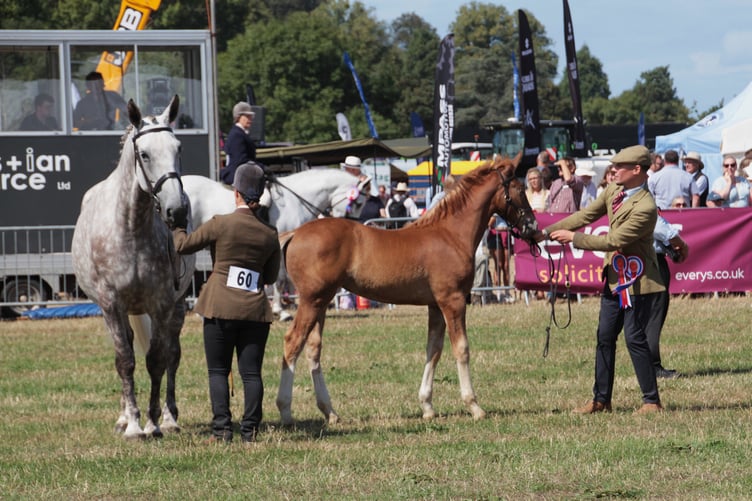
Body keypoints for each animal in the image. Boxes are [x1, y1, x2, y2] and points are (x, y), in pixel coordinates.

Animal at [72, 95, 195, 439]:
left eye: (178, 147)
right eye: (144, 154)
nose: (177, 211)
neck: (131, 227)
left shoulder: (162, 304)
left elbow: (157, 360)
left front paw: (153, 422)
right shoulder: (112, 305)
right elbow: (125, 360)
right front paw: (133, 424)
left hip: (177, 306)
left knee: (172, 354)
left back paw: (169, 417)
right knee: (124, 349)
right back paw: (124, 416)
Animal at [181, 169, 370, 319]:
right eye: (359, 203)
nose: (351, 226)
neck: (296, 201)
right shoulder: (279, 244)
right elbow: (280, 279)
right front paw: (281, 311)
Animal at [276, 156, 538, 425]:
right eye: (519, 189)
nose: (533, 227)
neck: (451, 234)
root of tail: (294, 233)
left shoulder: (436, 305)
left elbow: (433, 350)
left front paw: (427, 406)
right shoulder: (452, 301)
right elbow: (461, 349)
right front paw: (474, 405)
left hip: (322, 301)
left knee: (313, 349)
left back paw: (330, 411)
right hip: (312, 300)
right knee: (292, 342)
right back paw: (285, 411)